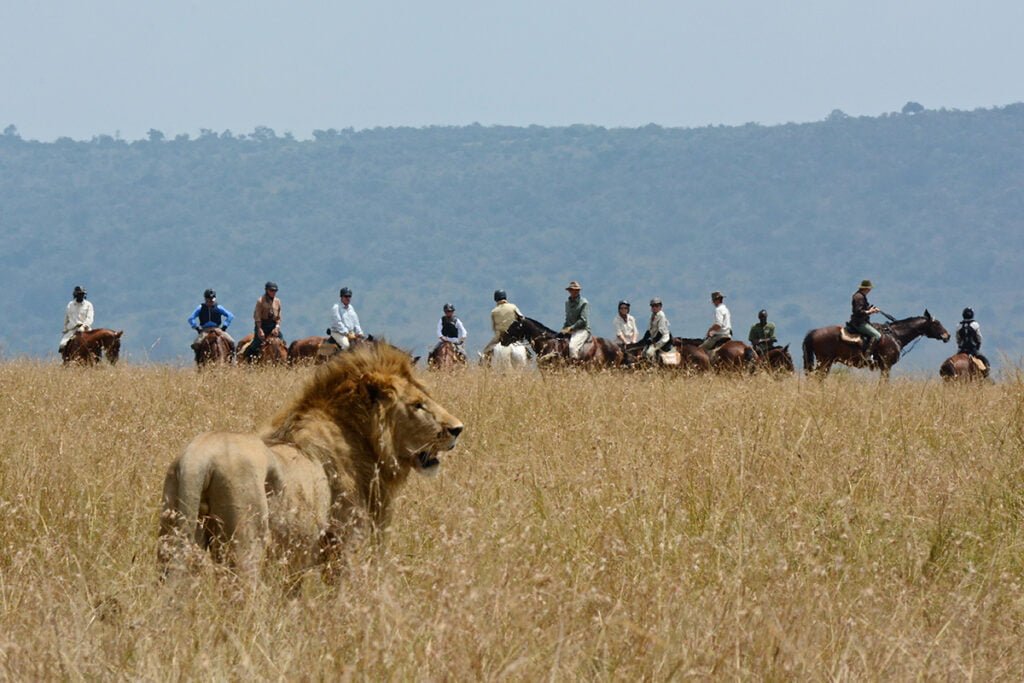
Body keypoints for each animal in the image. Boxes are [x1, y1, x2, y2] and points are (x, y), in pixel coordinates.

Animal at [155, 344, 464, 585]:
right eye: (417, 405)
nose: (457, 429)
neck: (365, 441)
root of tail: (198, 458)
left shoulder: (298, 558)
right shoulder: (346, 543)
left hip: (173, 539)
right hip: (245, 544)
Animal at [798, 311, 950, 378]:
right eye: (936, 323)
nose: (947, 336)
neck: (895, 335)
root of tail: (813, 332)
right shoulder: (886, 366)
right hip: (825, 361)